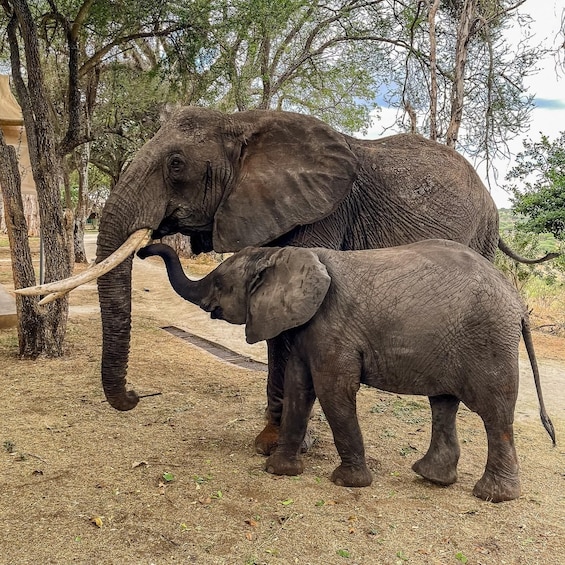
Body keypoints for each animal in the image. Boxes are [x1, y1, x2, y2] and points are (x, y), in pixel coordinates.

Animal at [137, 239, 556, 503]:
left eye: (221, 281)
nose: (143, 248)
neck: (285, 255)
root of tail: (518, 306)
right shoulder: (306, 328)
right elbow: (299, 388)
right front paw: (279, 471)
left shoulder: (331, 325)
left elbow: (332, 389)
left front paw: (348, 483)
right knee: (443, 403)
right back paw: (431, 477)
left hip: (488, 340)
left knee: (494, 413)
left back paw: (492, 496)